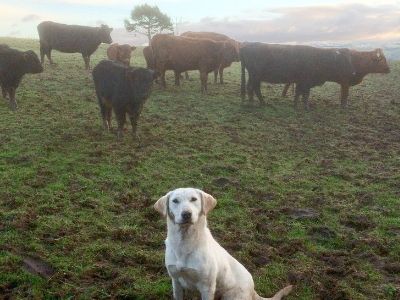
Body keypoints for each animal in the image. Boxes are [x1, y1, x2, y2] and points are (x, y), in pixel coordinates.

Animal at [155, 188, 292, 300]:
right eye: (175, 201)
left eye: (193, 199)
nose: (186, 214)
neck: (185, 241)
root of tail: (253, 290)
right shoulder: (176, 282)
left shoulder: (207, 287)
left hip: (231, 295)